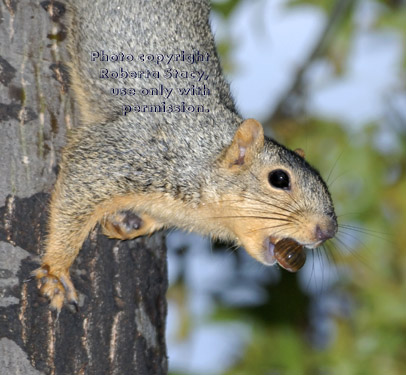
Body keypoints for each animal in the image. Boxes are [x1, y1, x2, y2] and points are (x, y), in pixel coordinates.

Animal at [32, 0, 336, 312]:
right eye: (279, 179)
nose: (327, 231)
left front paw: (130, 224)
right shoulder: (122, 153)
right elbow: (76, 192)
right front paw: (56, 271)